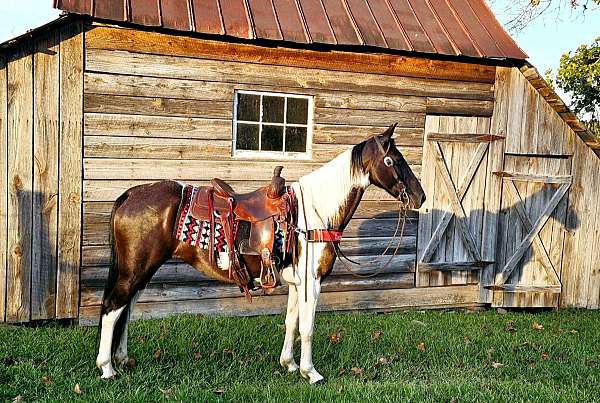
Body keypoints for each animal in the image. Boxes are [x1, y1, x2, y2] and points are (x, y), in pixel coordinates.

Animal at [96, 123, 424, 386]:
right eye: (393, 160)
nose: (419, 197)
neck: (314, 212)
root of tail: (130, 195)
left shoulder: (297, 284)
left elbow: (291, 322)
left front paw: (290, 365)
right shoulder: (312, 283)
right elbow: (307, 328)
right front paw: (311, 373)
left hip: (142, 270)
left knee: (127, 308)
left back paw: (123, 359)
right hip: (135, 269)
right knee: (114, 308)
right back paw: (107, 368)